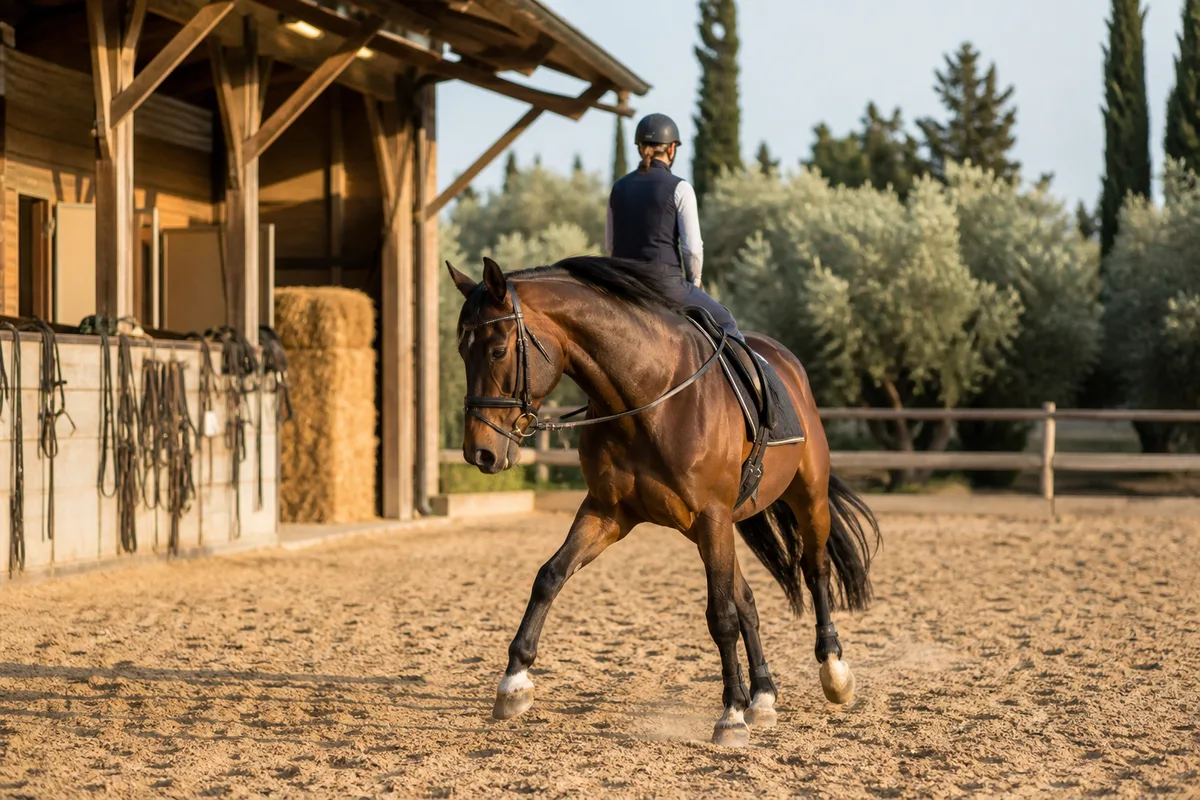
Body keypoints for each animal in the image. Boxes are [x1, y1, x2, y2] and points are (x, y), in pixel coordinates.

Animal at [447, 255, 880, 747]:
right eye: (462, 352)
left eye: (498, 351)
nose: (479, 453)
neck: (649, 394)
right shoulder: (607, 513)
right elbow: (550, 576)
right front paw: (514, 683)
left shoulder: (710, 516)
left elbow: (720, 616)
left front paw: (730, 715)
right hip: (710, 528)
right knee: (747, 598)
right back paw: (763, 695)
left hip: (805, 497)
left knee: (815, 570)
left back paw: (833, 671)